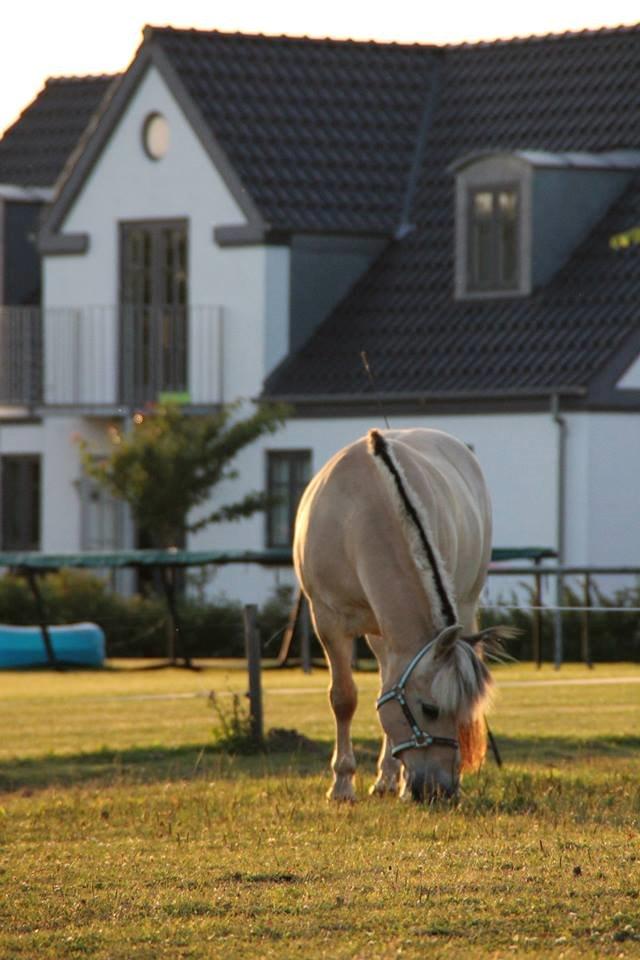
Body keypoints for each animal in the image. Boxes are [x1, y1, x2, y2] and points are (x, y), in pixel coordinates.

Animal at [292, 430, 508, 804]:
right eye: (430, 710)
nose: (441, 790)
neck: (361, 509)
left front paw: (401, 782)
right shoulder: (328, 621)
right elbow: (343, 699)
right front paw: (342, 785)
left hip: (464, 602)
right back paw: (385, 778)